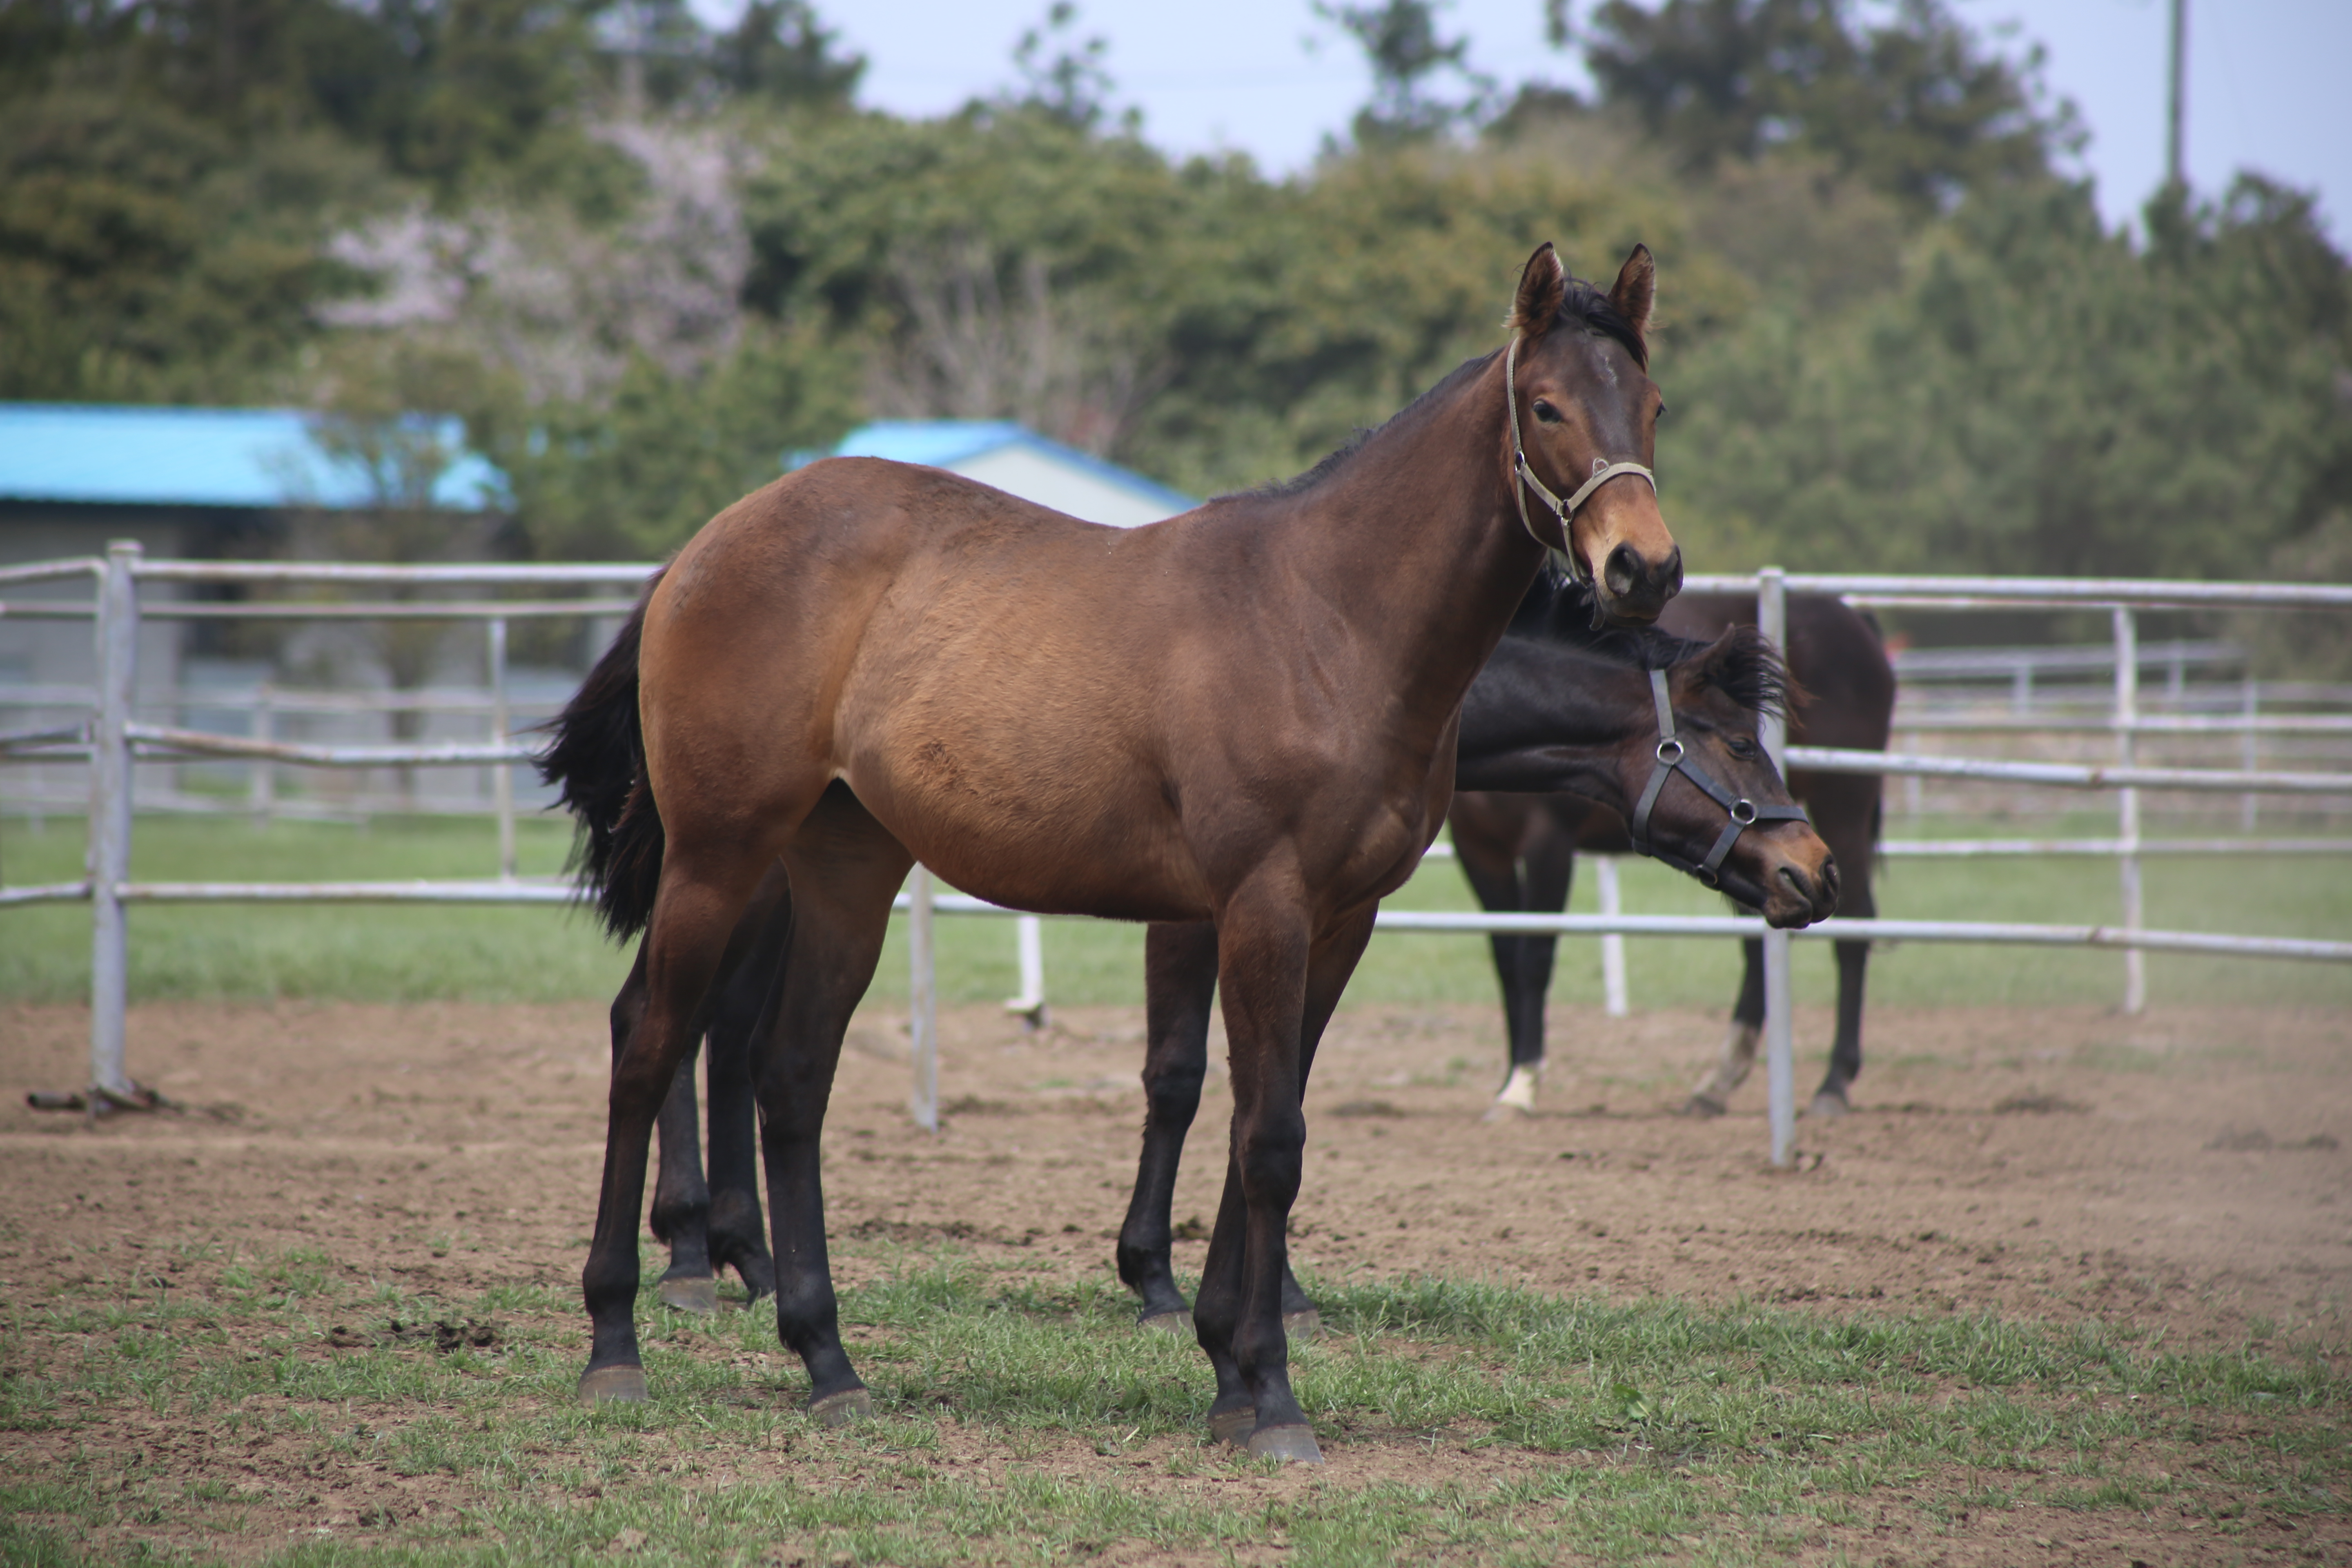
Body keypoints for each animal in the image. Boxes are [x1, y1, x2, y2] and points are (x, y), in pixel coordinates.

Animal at [541, 242, 1806, 1457]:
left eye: (1651, 403)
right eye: (1545, 406)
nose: (1644, 567)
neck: (1327, 623)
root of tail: (701, 550)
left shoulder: (1337, 921)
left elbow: (1258, 1115)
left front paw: (1230, 1373)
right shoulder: (1256, 908)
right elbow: (1255, 1131)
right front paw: (1270, 1397)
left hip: (844, 869)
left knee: (790, 1075)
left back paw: (828, 1362)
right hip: (719, 860)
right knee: (650, 1047)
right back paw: (619, 1339)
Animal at [1449, 588, 1891, 1114]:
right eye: (1742, 745)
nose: (1818, 868)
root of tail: (1857, 620)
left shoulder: (1548, 843)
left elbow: (1534, 957)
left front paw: (1522, 1084)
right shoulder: (1478, 848)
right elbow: (1506, 958)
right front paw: (1511, 1080)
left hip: (1843, 807)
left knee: (1855, 929)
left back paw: (1833, 1083)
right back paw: (1720, 1081)